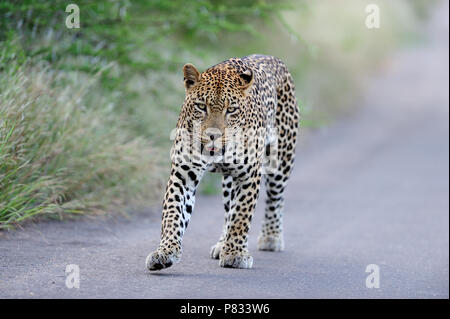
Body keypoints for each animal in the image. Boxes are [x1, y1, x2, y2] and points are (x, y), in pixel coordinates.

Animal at [147, 54, 298, 270]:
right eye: (201, 106)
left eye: (231, 110)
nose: (213, 136)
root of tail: (273, 58)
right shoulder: (183, 174)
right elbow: (173, 213)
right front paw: (165, 251)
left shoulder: (249, 175)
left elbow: (241, 216)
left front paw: (235, 254)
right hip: (229, 182)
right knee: (229, 209)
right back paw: (221, 244)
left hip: (281, 159)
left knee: (275, 199)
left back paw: (271, 237)